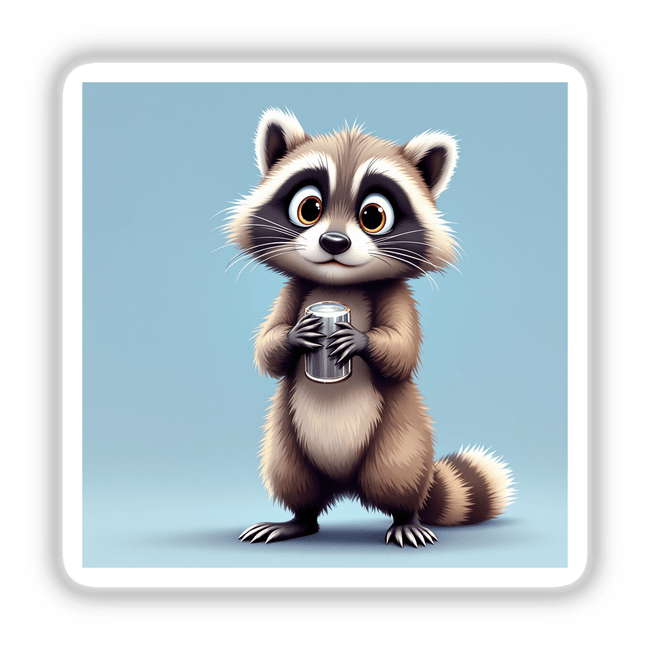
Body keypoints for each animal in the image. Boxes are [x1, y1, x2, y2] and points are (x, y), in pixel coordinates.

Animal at [226, 109, 514, 547]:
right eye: (309, 208)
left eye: (373, 217)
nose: (333, 242)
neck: (336, 285)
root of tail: (345, 485)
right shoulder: (294, 292)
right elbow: (267, 347)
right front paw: (295, 336)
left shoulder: (395, 294)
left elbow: (403, 350)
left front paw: (360, 340)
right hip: (286, 439)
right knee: (293, 478)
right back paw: (297, 519)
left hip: (401, 434)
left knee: (397, 472)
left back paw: (406, 517)